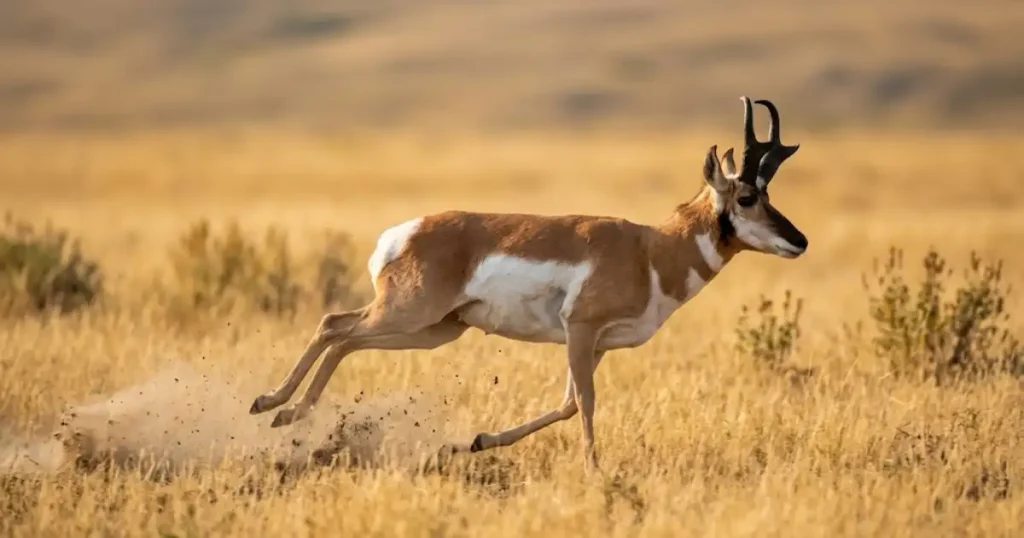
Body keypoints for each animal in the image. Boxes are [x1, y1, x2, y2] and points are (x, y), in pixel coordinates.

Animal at [249, 96, 808, 472]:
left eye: (769, 194)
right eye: (747, 197)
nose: (799, 241)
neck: (650, 249)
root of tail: (407, 230)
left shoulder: (596, 345)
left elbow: (566, 404)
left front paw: (473, 441)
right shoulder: (581, 331)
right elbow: (585, 403)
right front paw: (596, 473)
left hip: (433, 330)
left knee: (342, 334)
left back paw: (283, 414)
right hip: (409, 314)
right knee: (335, 327)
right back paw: (276, 408)